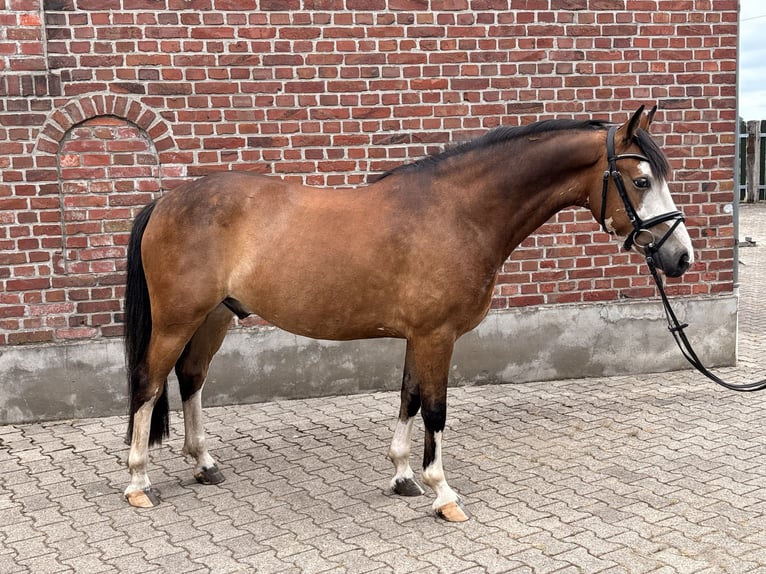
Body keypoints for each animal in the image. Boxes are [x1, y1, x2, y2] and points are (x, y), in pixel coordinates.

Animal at [123, 105, 694, 521]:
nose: (680, 257)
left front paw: (402, 477)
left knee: (191, 377)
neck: (459, 212)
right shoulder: (437, 335)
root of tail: (165, 200)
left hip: (214, 317)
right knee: (148, 383)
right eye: (641, 181)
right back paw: (138, 482)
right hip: (176, 320)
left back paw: (204, 464)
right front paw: (443, 494)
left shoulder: (419, 336)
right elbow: (435, 409)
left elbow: (410, 398)